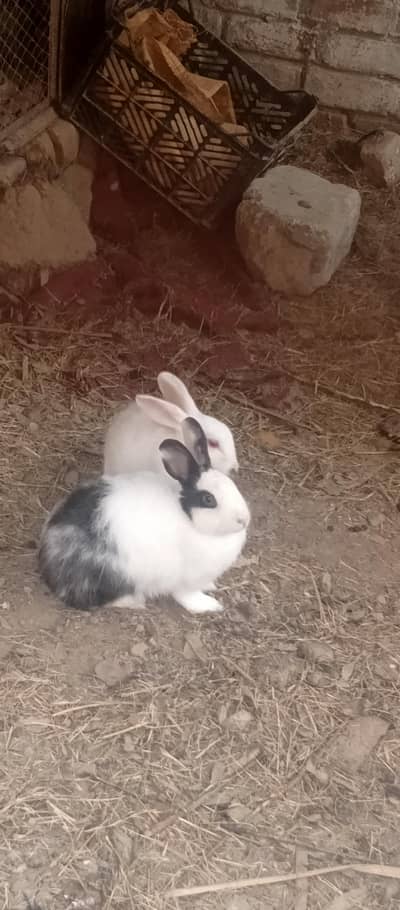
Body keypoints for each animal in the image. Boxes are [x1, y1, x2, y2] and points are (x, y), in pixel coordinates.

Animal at [39, 417, 250, 615]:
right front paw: (209, 605)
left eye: (232, 485)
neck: (189, 519)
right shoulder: (185, 580)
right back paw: (134, 601)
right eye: (208, 499)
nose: (244, 520)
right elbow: (187, 596)